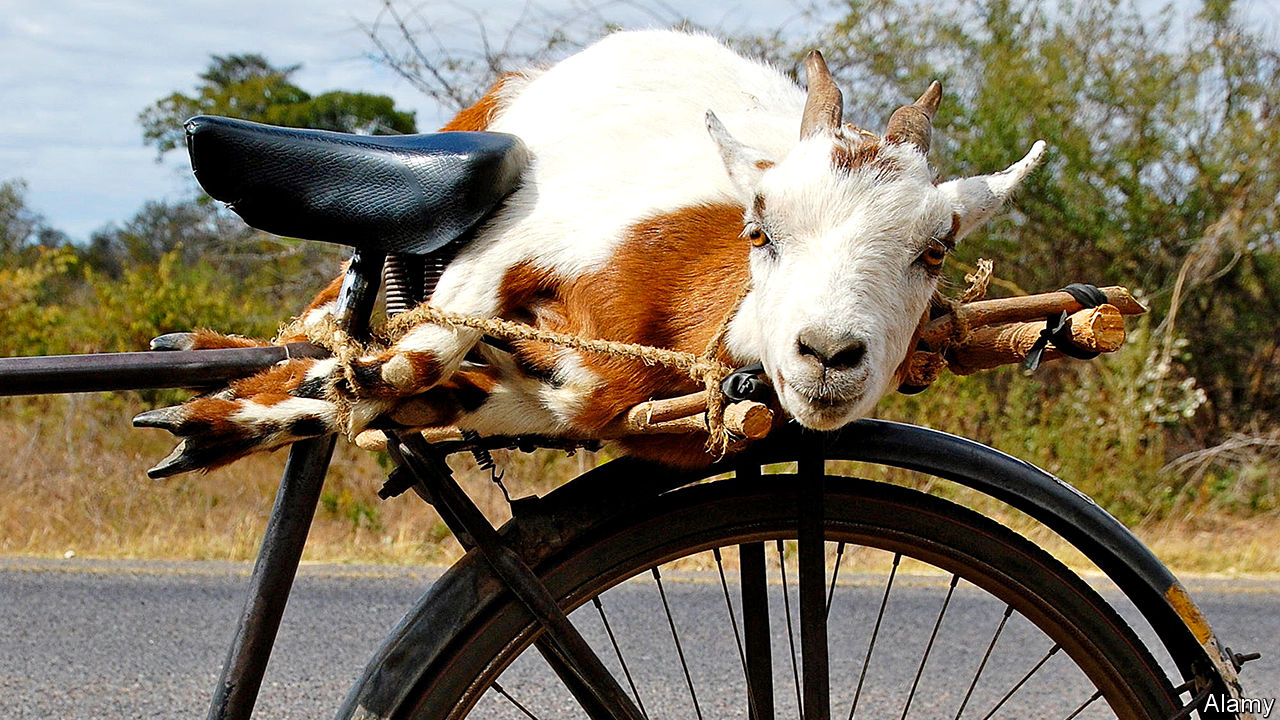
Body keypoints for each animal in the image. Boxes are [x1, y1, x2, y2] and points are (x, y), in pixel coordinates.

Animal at [135, 30, 1045, 477]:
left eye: (934, 251)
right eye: (761, 231)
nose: (827, 355)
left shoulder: (584, 404)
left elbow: (443, 391)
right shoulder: (508, 248)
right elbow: (409, 359)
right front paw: (210, 422)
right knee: (337, 310)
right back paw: (210, 348)